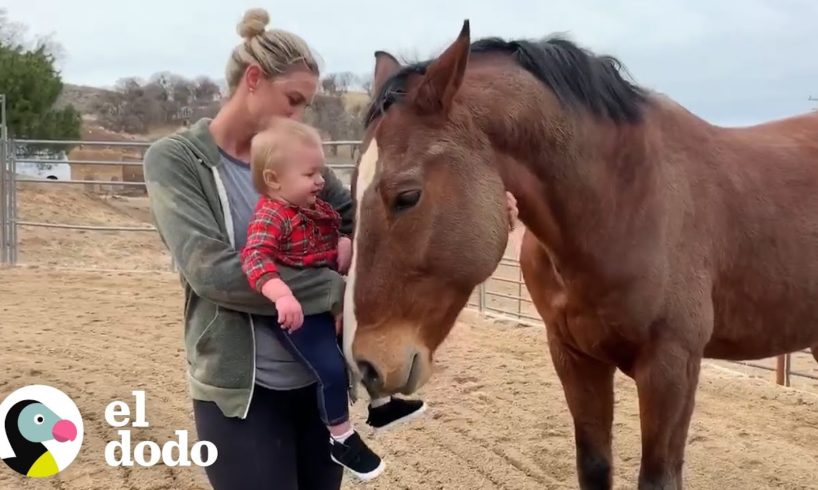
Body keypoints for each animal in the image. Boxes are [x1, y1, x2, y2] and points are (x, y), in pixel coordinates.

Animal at [342, 20, 816, 490]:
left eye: (407, 196)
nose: (365, 365)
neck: (624, 202)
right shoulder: (574, 358)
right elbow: (593, 464)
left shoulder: (672, 368)